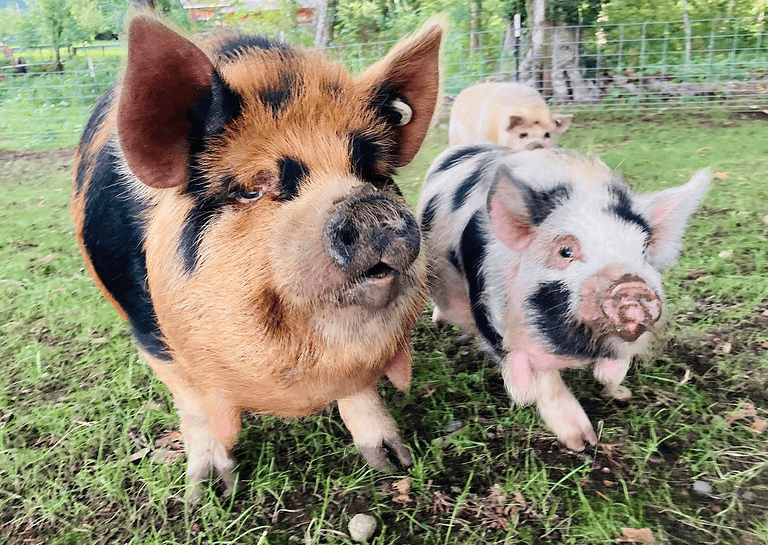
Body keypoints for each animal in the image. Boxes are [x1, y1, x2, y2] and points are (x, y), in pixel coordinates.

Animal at [73, 14, 444, 500]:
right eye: (252, 188)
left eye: (373, 174)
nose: (368, 207)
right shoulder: (148, 332)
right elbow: (193, 403)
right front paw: (208, 495)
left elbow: (361, 384)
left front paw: (395, 464)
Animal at [416, 143, 712, 446]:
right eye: (565, 251)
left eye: (643, 251)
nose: (631, 284)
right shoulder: (492, 315)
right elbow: (544, 379)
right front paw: (582, 441)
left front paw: (613, 388)